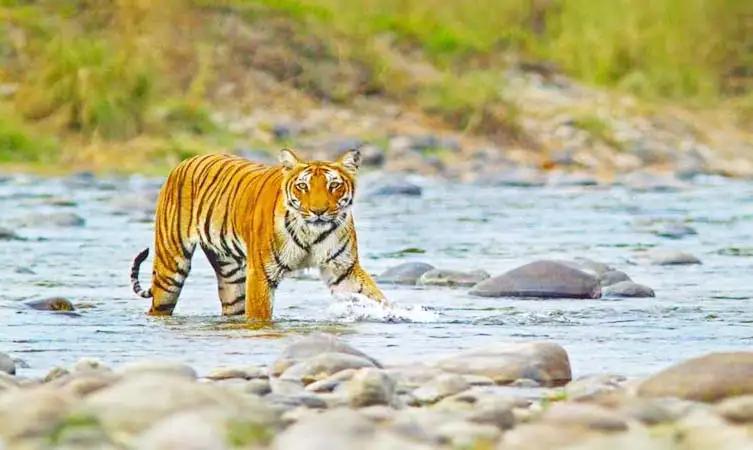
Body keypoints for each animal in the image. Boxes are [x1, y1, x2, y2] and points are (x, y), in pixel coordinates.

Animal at [129, 149, 384, 322]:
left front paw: (391, 314)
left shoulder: (344, 269)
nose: (318, 211)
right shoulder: (261, 273)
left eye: (334, 186)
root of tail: (185, 161)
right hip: (171, 267)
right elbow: (260, 315)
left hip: (231, 276)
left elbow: (374, 296)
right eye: (303, 186)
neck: (311, 232)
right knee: (159, 305)